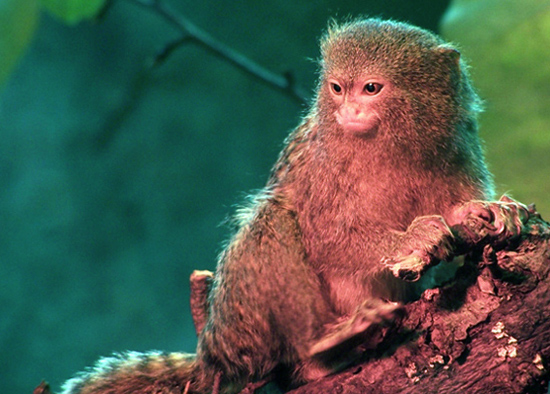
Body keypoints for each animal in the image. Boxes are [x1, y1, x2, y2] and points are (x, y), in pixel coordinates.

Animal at [59, 17, 532, 394]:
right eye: (337, 88)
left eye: (371, 88)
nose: (348, 111)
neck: (395, 148)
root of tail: (212, 348)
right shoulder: (325, 171)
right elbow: (326, 238)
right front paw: (414, 237)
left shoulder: (456, 143)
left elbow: (457, 206)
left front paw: (486, 212)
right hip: (243, 319)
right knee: (271, 223)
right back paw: (321, 345)